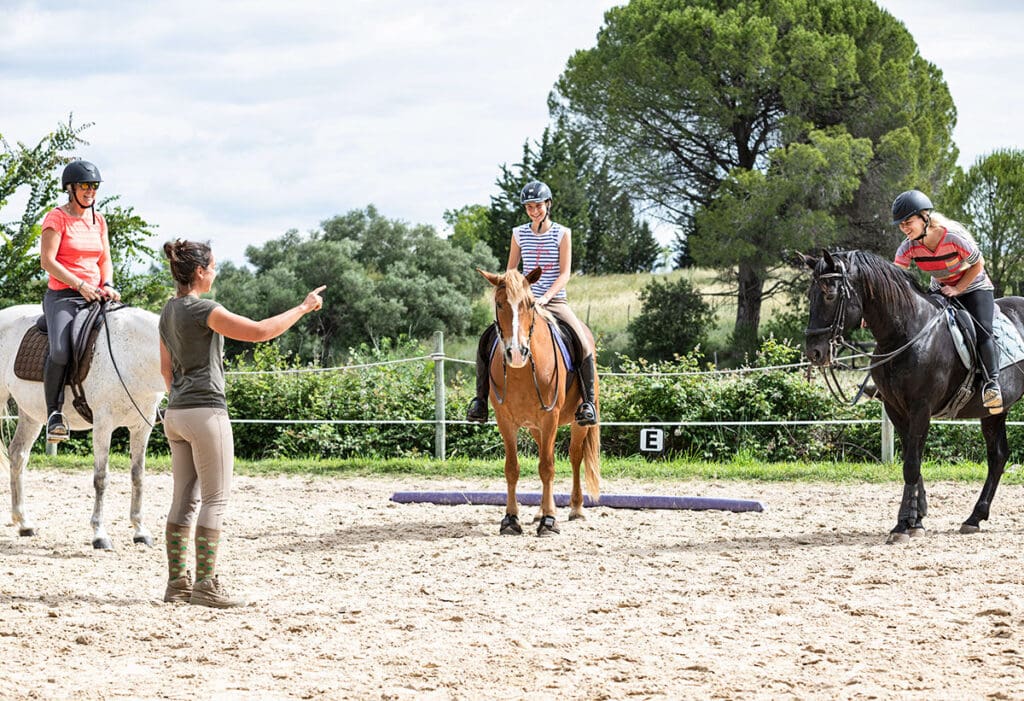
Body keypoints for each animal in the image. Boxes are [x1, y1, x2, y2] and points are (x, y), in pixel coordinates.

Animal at [0, 302, 163, 548]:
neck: (132, 354)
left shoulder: (142, 427)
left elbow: (138, 476)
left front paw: (140, 531)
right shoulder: (103, 424)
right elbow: (101, 478)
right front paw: (99, 534)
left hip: (30, 414)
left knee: (18, 455)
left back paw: (25, 524)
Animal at [479, 268, 598, 536]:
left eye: (531, 304)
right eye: (499, 304)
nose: (516, 353)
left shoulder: (550, 417)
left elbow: (547, 467)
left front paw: (550, 521)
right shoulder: (506, 421)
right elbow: (512, 468)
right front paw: (511, 519)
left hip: (577, 422)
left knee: (575, 457)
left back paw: (576, 508)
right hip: (535, 428)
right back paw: (541, 511)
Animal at [802, 248, 1024, 544]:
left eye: (829, 294)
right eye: (810, 295)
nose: (814, 352)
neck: (907, 333)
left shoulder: (921, 408)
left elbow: (911, 464)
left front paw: (903, 526)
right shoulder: (896, 409)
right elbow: (912, 462)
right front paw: (915, 519)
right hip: (992, 412)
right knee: (998, 456)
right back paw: (974, 518)